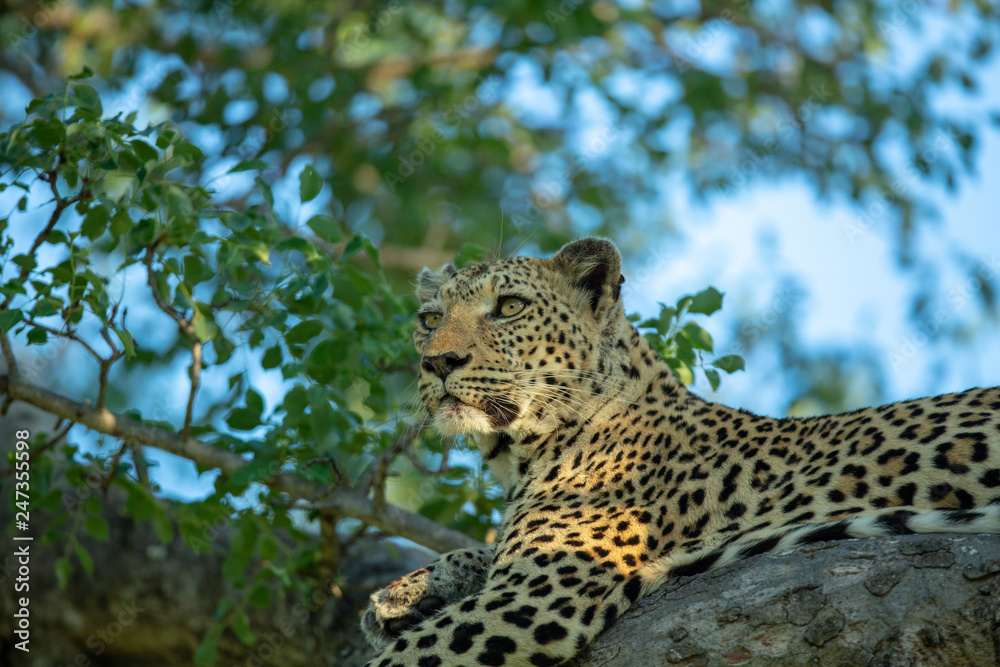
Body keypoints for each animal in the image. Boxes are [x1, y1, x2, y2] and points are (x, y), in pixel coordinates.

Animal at [361, 237, 1000, 667]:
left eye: (510, 307)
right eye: (429, 319)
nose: (437, 362)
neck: (523, 454)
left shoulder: (537, 592)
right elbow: (481, 551)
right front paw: (404, 593)